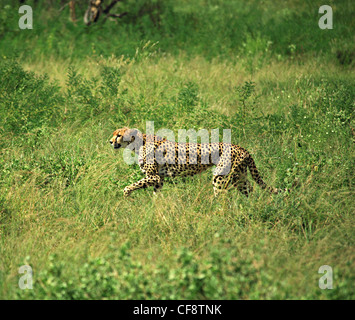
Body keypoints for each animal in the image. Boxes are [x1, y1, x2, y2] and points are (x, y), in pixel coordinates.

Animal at [110, 126, 286, 196]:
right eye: (114, 134)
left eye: (118, 135)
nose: (110, 141)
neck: (138, 143)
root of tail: (242, 148)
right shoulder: (159, 179)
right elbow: (156, 195)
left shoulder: (154, 176)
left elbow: (130, 186)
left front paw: (126, 194)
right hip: (239, 175)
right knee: (249, 189)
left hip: (220, 177)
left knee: (222, 197)